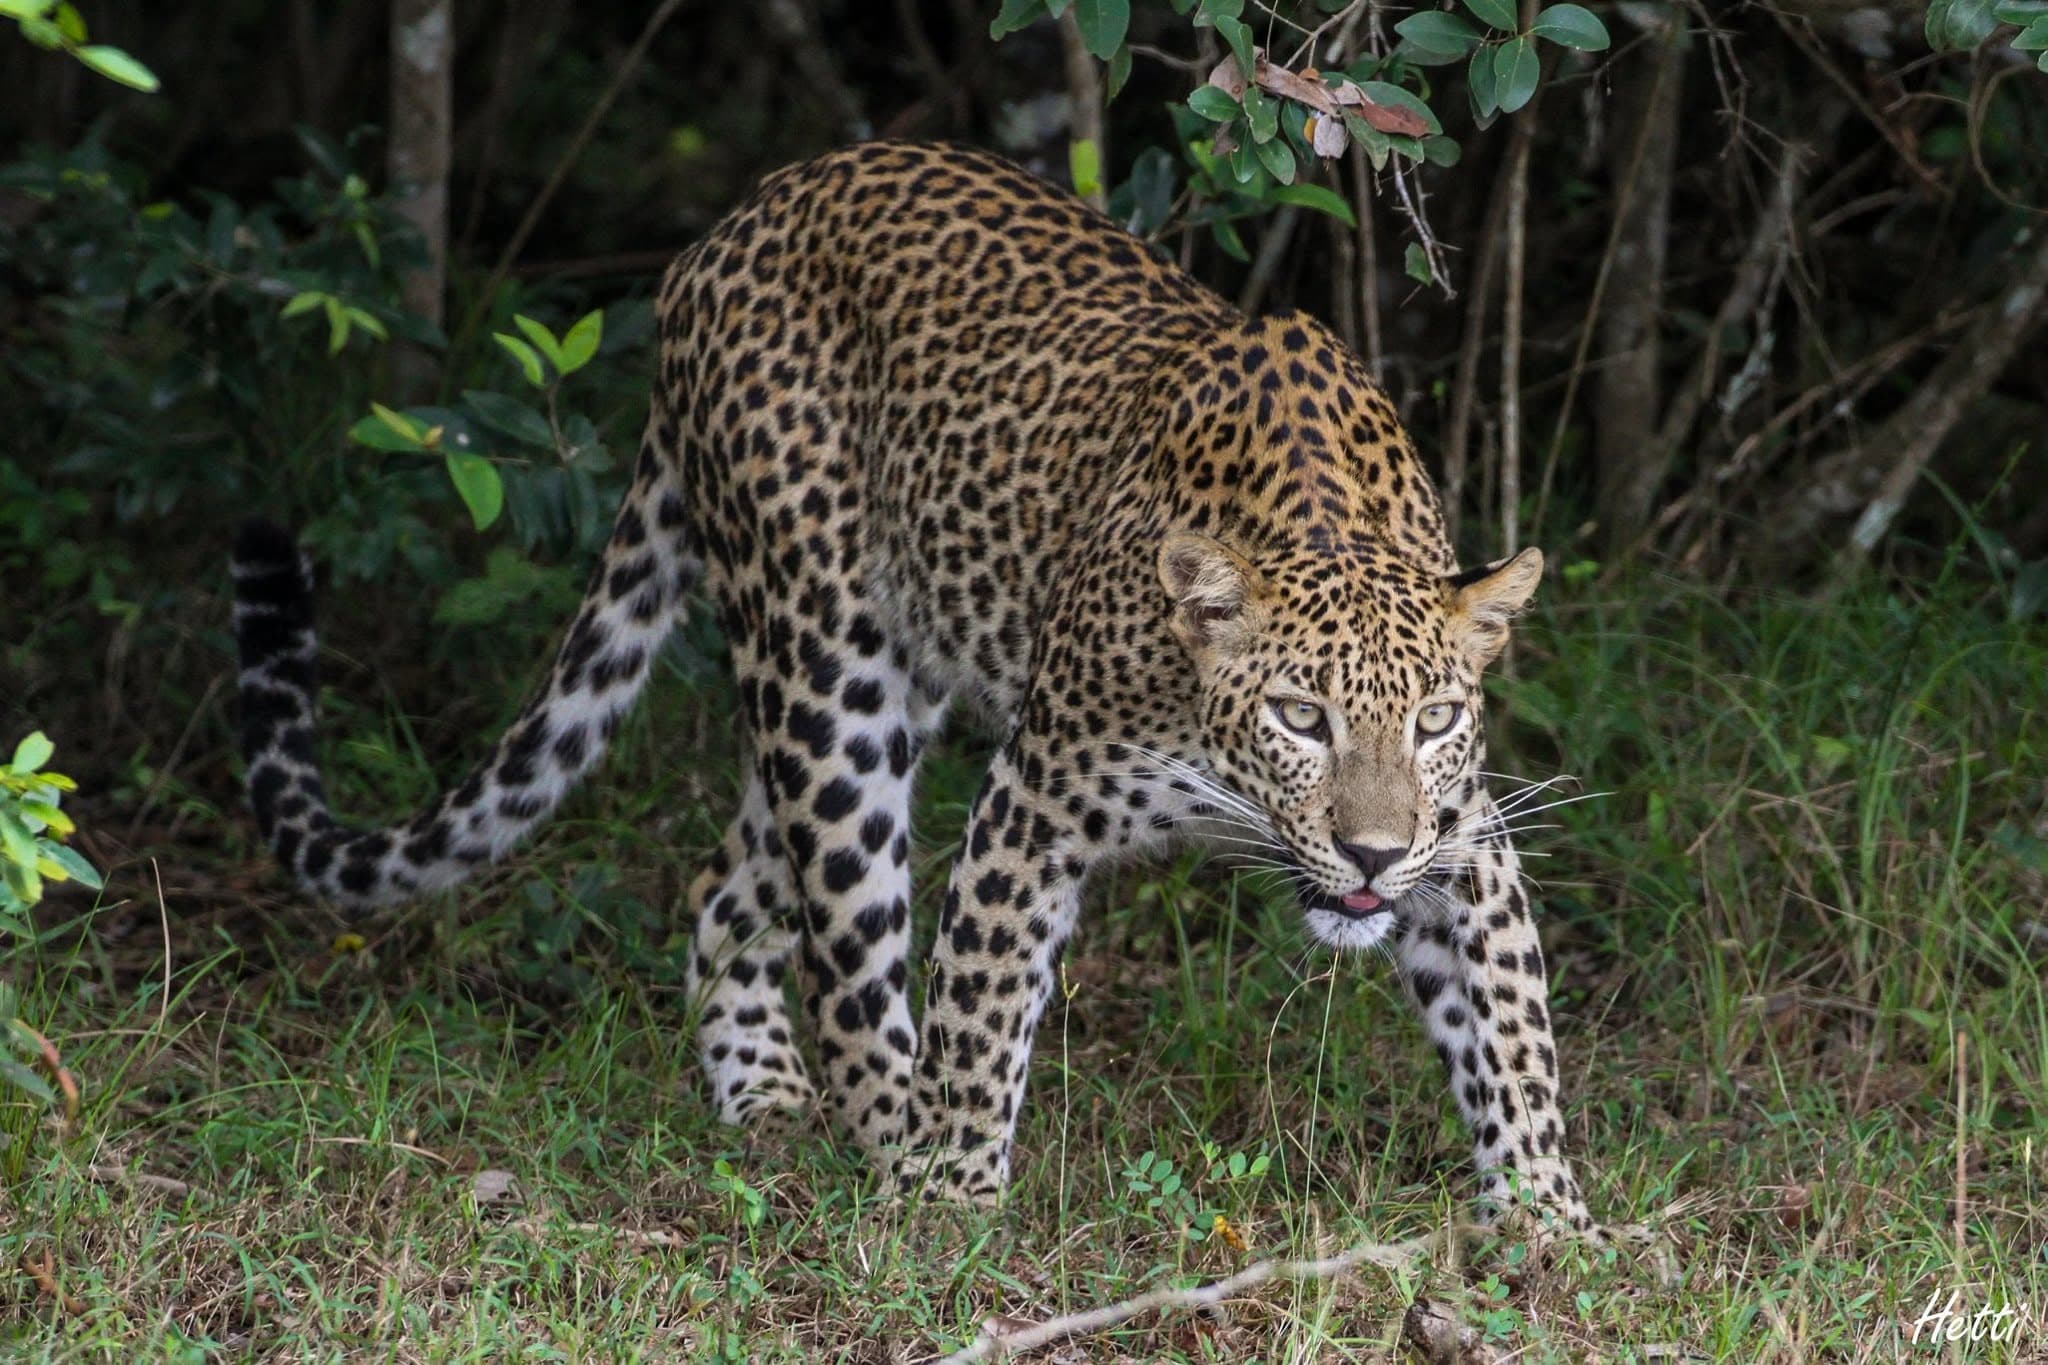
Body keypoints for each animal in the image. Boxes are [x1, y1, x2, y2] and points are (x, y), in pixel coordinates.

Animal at [232, 140, 1599, 1235]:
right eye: (1297, 718)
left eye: (1433, 721)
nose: (1368, 856)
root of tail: (727, 229)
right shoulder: (1036, 802)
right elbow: (982, 1004)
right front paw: (949, 1201)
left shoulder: (1465, 838)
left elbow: (1514, 1033)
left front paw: (1549, 1227)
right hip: (825, 665)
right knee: (846, 945)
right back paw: (890, 1141)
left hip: (880, 687)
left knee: (728, 891)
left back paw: (766, 1094)